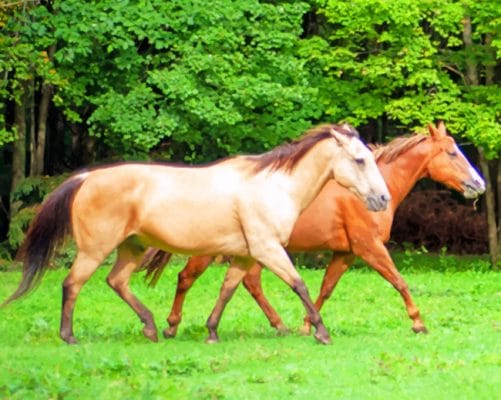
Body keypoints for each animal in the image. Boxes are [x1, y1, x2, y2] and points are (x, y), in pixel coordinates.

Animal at [0, 122, 390, 344]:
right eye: (359, 160)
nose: (383, 198)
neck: (273, 186)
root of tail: (86, 178)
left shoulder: (244, 255)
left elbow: (227, 291)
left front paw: (212, 332)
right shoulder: (268, 250)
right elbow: (300, 285)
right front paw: (321, 333)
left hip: (131, 248)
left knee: (117, 282)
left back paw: (152, 328)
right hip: (96, 250)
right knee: (72, 285)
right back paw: (69, 337)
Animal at [144, 122, 484, 338]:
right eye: (452, 153)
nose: (478, 184)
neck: (361, 192)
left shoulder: (345, 254)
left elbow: (325, 289)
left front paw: (307, 325)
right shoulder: (369, 247)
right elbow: (399, 281)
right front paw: (418, 323)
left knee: (249, 283)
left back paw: (279, 325)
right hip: (214, 250)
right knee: (186, 278)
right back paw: (172, 325)